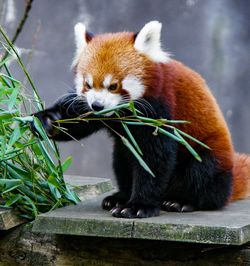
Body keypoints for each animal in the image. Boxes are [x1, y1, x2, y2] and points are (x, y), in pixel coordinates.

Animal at [34, 20, 250, 216]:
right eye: (88, 85)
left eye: (113, 86)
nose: (97, 106)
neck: (123, 113)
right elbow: (79, 120)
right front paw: (47, 120)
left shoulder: (160, 106)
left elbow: (154, 160)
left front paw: (139, 205)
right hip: (122, 151)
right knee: (122, 161)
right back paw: (119, 197)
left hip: (209, 155)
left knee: (202, 174)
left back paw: (183, 201)